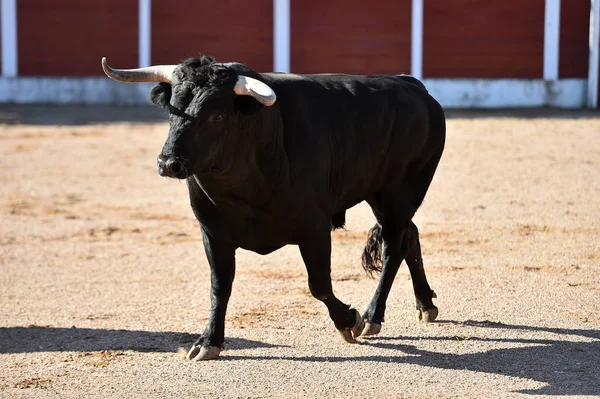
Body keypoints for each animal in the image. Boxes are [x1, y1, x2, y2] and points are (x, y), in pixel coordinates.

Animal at [102, 57, 446, 362]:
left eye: (217, 116)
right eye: (172, 108)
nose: (169, 163)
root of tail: (411, 85)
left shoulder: (314, 228)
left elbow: (319, 285)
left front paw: (350, 320)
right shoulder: (212, 232)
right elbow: (219, 286)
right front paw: (208, 342)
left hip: (400, 190)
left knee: (393, 247)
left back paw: (373, 315)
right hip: (382, 196)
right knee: (409, 236)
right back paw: (425, 304)